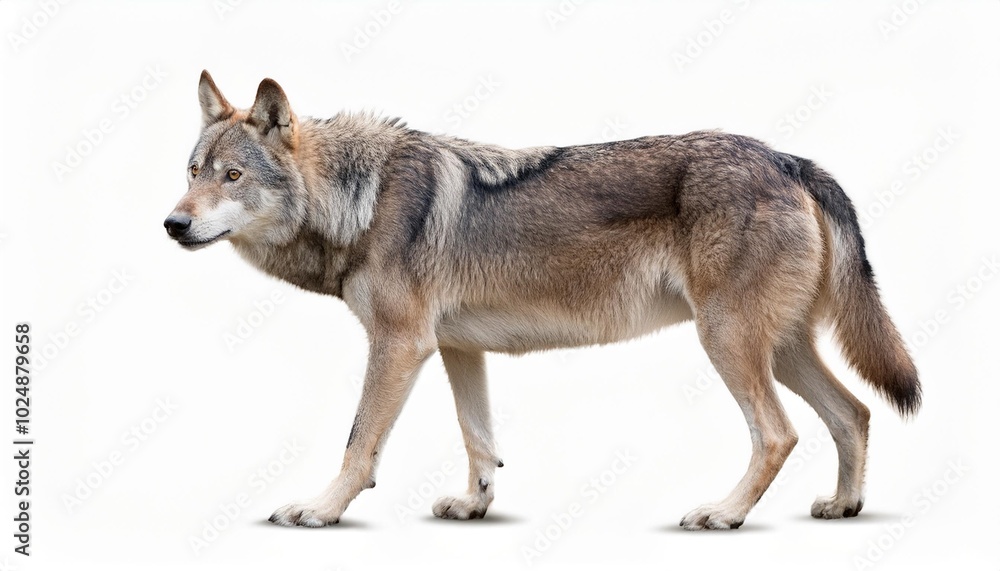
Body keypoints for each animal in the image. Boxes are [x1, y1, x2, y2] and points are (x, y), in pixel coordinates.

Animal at [164, 71, 920, 530]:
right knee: (854, 412)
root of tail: (790, 159)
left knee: (780, 432)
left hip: (729, 341)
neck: (361, 199)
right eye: (193, 172)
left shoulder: (399, 344)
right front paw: (475, 505)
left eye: (233, 176)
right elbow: (479, 440)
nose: (172, 224)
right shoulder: (455, 347)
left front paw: (320, 510)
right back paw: (844, 504)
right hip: (781, 347)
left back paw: (724, 513)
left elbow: (359, 444)